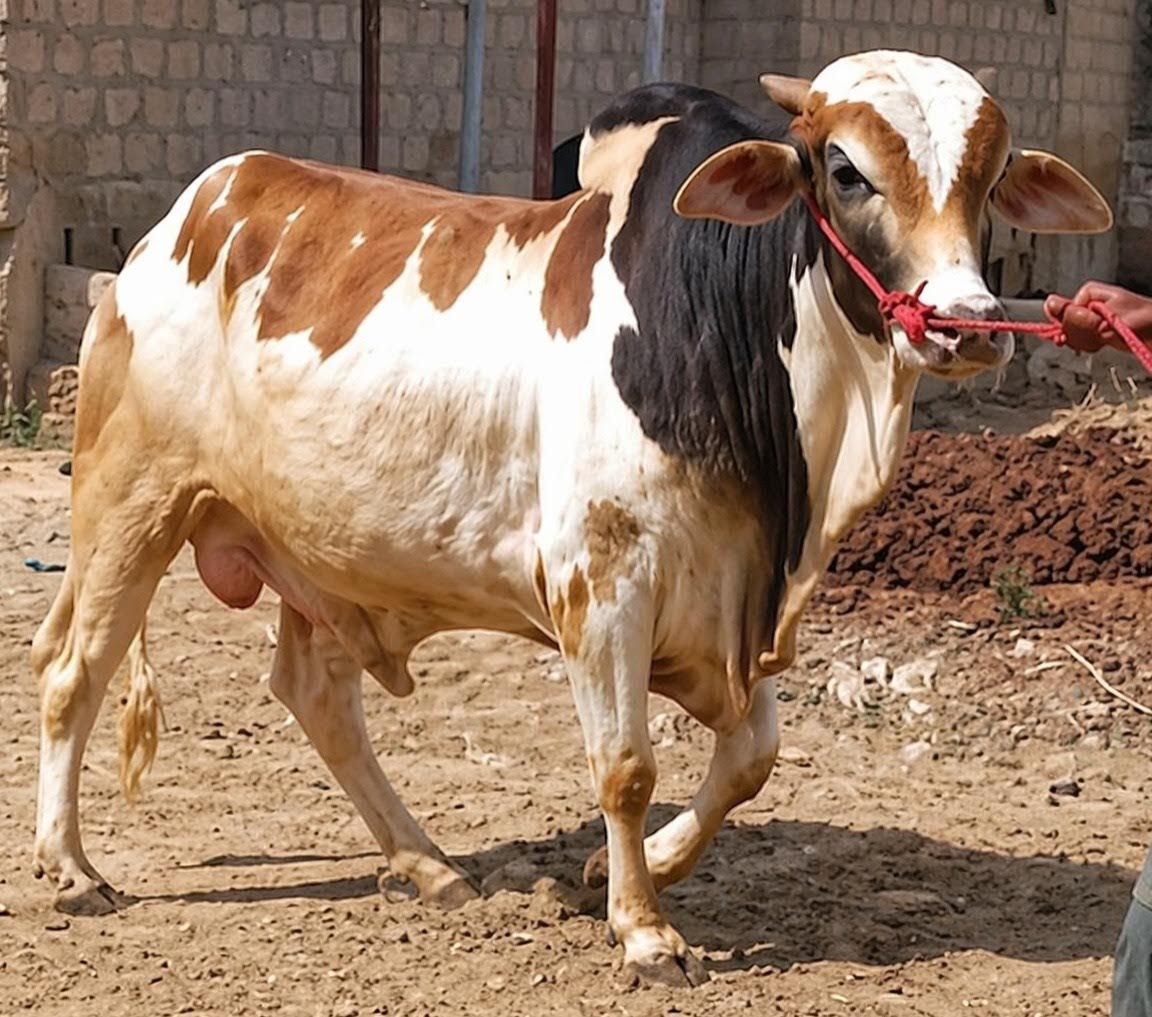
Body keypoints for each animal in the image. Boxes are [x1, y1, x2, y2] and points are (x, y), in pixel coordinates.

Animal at [32, 50, 1111, 987]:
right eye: (846, 171)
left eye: (990, 179)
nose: (971, 324)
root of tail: (182, 219)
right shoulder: (604, 585)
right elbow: (626, 767)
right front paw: (644, 932)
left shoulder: (729, 597)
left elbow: (752, 757)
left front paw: (627, 870)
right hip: (131, 508)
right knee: (72, 675)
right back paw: (71, 870)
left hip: (328, 556)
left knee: (316, 695)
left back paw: (429, 865)